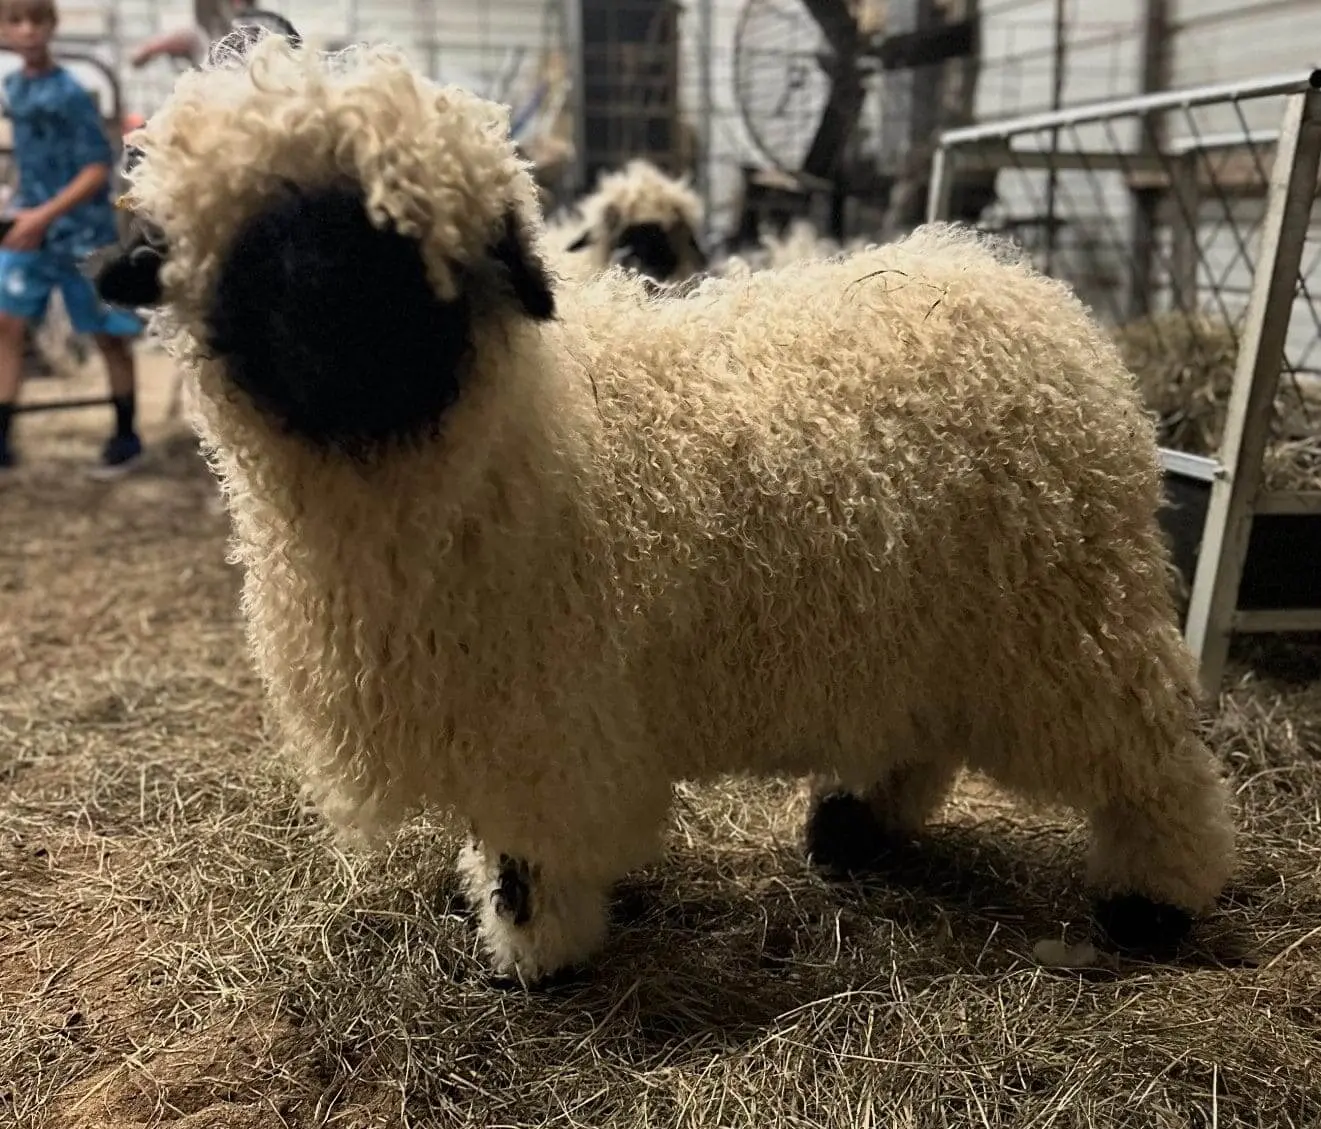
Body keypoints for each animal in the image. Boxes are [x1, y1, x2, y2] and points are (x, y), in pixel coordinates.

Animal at [97, 39, 1237, 985]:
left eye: (406, 247)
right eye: (250, 250)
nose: (333, 337)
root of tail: (1040, 305)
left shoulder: (547, 712)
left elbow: (531, 850)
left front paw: (532, 953)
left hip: (1062, 627)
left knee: (1153, 759)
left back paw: (1152, 903)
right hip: (929, 621)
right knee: (921, 740)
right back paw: (850, 827)